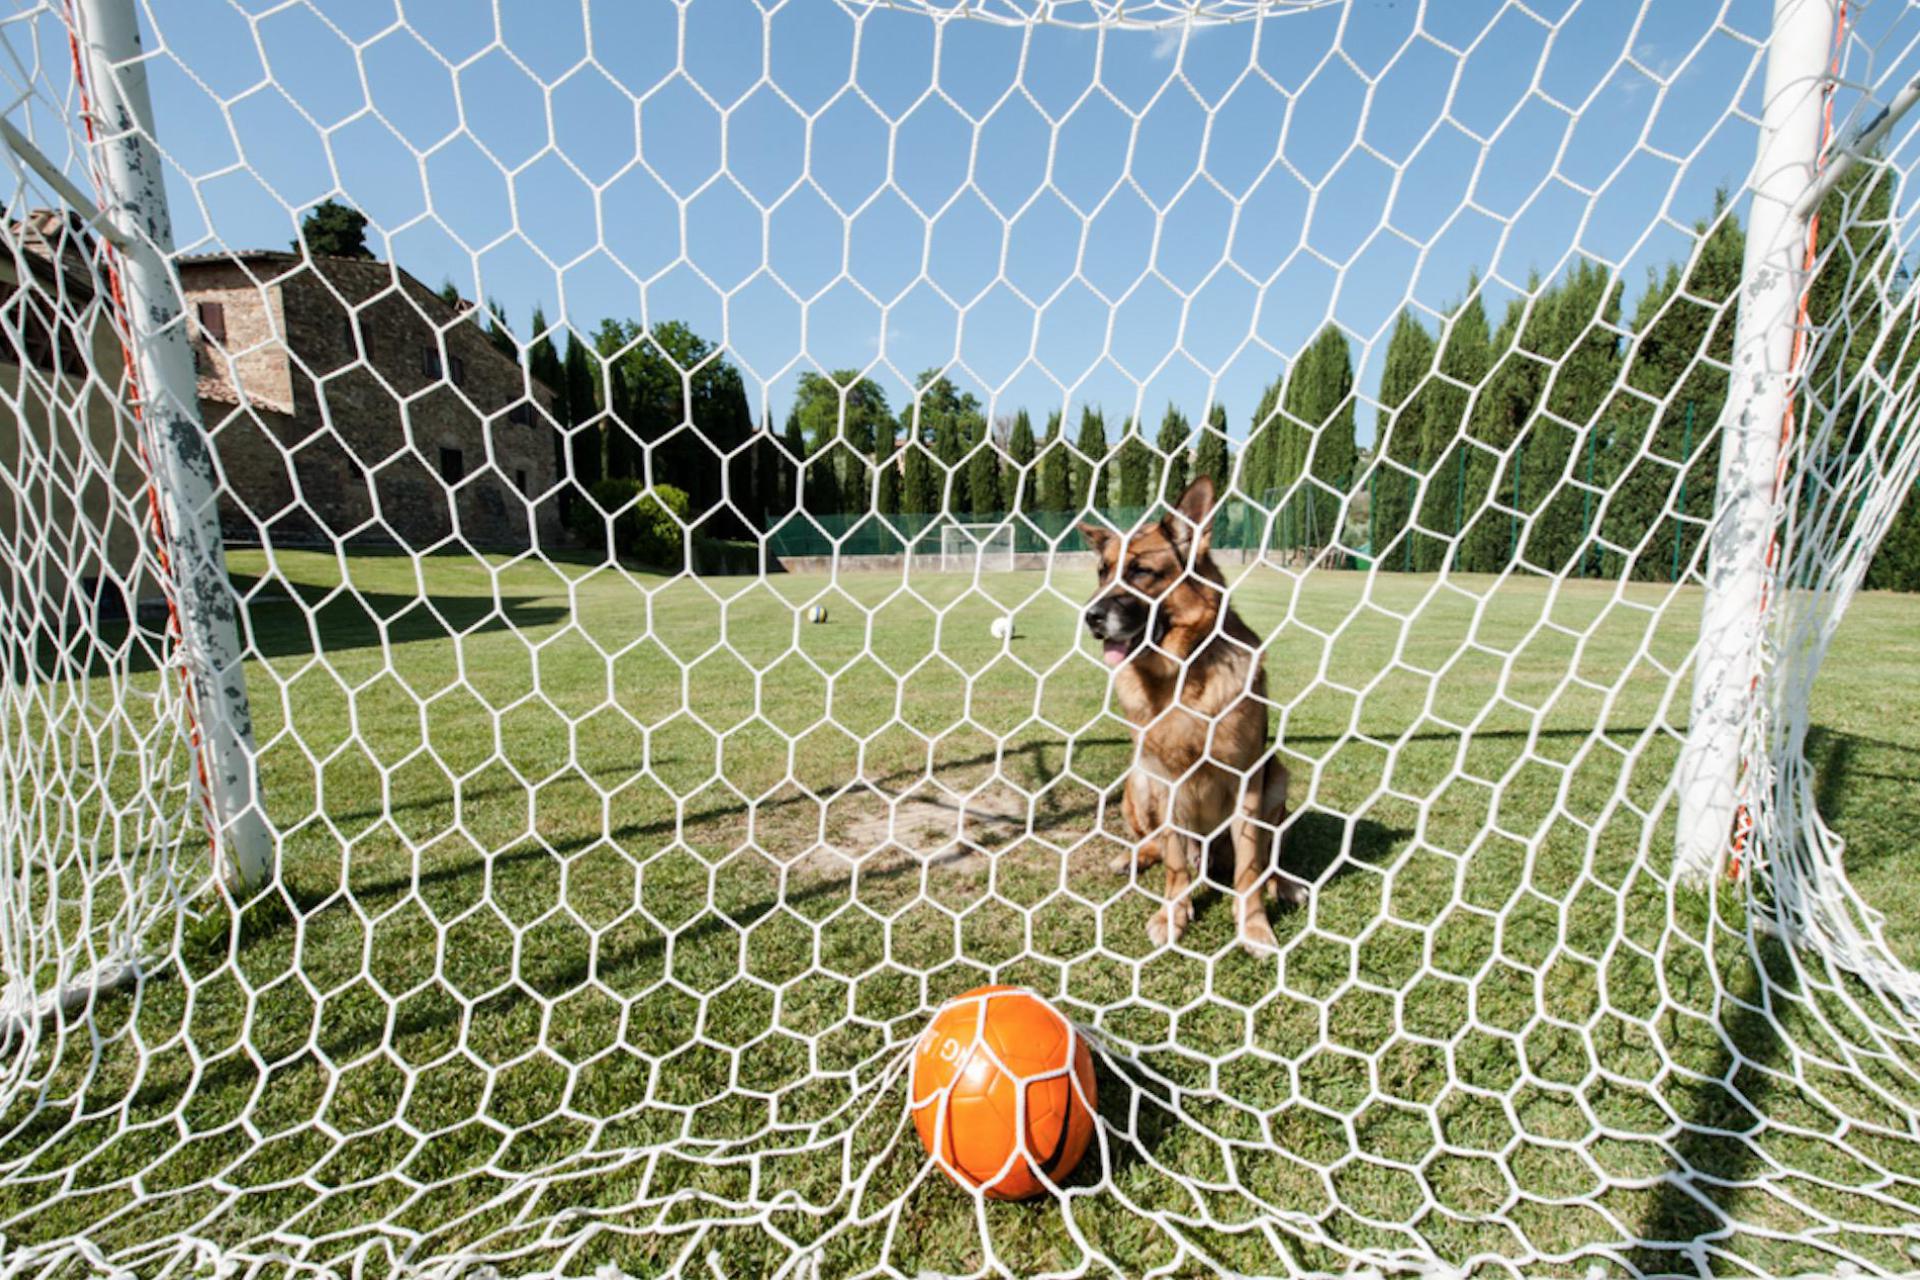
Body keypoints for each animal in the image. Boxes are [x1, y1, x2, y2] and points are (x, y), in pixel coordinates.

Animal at [1082, 477, 1305, 951]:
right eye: (1102, 572)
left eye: (1141, 572)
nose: (1090, 617)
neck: (1181, 679)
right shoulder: (1164, 781)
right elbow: (1173, 862)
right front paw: (1173, 914)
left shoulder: (1247, 784)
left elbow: (1250, 868)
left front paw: (1254, 925)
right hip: (1138, 779)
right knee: (1156, 844)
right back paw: (1133, 858)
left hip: (1276, 776)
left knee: (1266, 858)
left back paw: (1284, 883)